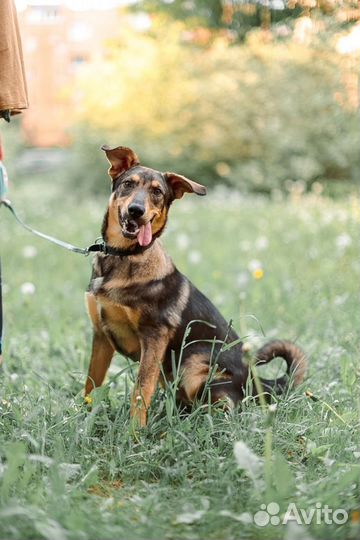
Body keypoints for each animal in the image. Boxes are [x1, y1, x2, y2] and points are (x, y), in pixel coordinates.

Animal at [85, 144, 306, 426]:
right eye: (128, 184)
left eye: (157, 192)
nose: (136, 210)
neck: (123, 256)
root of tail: (256, 381)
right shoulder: (101, 336)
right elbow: (90, 384)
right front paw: (79, 417)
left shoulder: (154, 337)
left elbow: (140, 390)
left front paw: (134, 431)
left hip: (192, 365)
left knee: (226, 408)